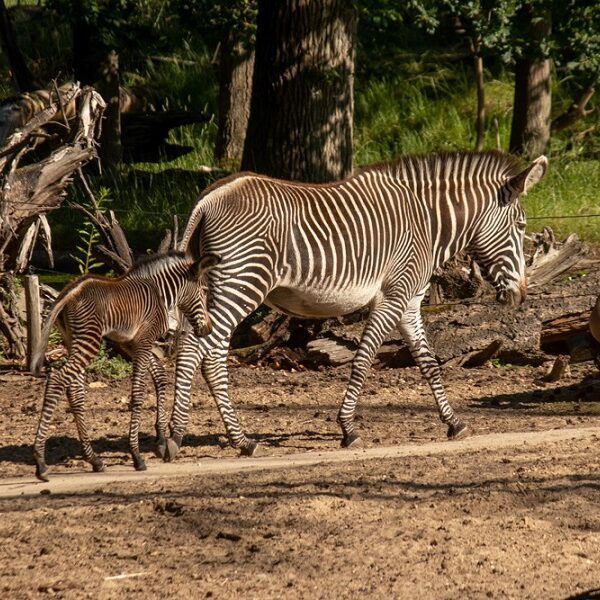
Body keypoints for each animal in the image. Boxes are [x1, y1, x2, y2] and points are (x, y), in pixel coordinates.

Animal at [30, 251, 218, 480]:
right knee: (57, 380)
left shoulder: (132, 344)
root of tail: (70, 291)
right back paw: (40, 462)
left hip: (71, 340)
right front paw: (137, 455)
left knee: (74, 391)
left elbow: (160, 377)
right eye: (205, 291)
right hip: (88, 340)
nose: (208, 330)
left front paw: (161, 440)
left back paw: (94, 460)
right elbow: (138, 395)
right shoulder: (144, 342)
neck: (160, 292)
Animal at [164, 151, 548, 460]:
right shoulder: (393, 296)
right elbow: (364, 358)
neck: (427, 221)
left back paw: (210, 437)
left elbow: (428, 362)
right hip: (242, 282)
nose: (520, 295)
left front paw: (454, 422)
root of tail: (208, 198)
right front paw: (348, 428)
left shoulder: (411, 302)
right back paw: (205, 438)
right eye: (520, 226)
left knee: (200, 350)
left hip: (213, 286)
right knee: (202, 349)